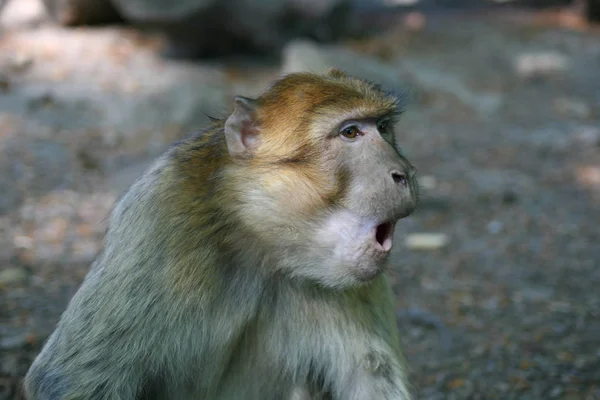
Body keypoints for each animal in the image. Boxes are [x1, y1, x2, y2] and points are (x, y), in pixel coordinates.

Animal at [22, 70, 418, 398]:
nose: (405, 173)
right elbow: (74, 378)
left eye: (383, 128)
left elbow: (370, 376)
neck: (261, 240)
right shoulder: (162, 218)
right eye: (350, 132)